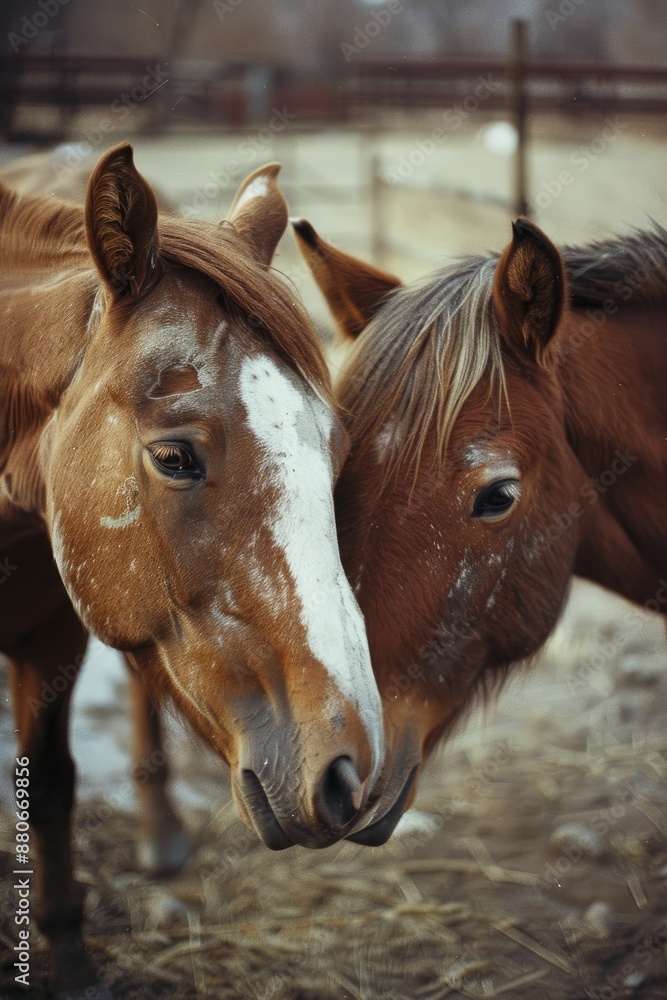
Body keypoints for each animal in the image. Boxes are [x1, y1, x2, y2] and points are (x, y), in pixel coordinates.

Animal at [1, 143, 384, 998]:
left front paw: (69, 958)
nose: (350, 772)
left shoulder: (50, 638)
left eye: (334, 450)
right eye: (174, 457)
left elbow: (50, 786)